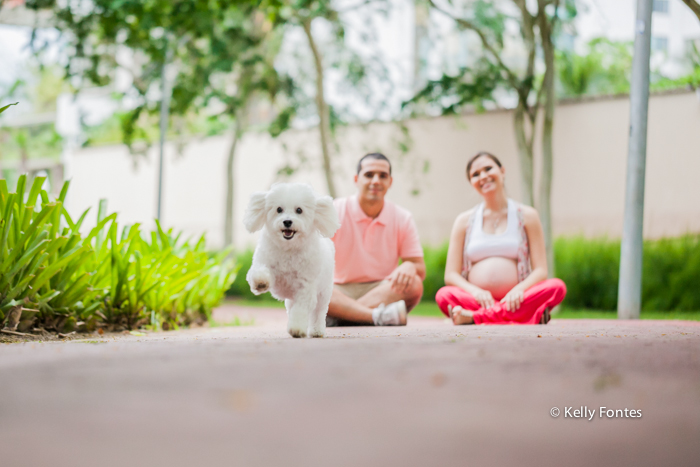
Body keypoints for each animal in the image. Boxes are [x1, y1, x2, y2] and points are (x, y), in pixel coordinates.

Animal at [245, 184, 340, 340]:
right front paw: (261, 282)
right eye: (279, 209)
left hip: (323, 293)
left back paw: (316, 331)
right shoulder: (264, 261)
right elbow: (260, 271)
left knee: (318, 312)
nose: (287, 221)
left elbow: (300, 310)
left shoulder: (305, 287)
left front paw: (296, 329)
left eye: (299, 210)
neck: (288, 248)